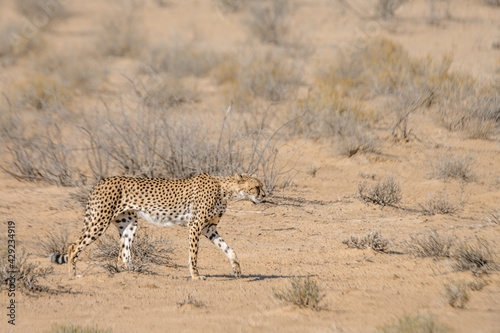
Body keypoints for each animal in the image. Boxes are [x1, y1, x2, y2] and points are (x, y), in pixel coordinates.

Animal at [50, 172, 266, 278]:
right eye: (257, 187)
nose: (264, 195)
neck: (225, 189)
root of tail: (102, 181)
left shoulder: (208, 229)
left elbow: (229, 249)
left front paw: (236, 269)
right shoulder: (195, 225)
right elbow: (194, 255)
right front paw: (196, 276)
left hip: (129, 223)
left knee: (123, 255)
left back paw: (139, 272)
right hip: (99, 221)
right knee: (73, 247)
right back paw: (73, 275)